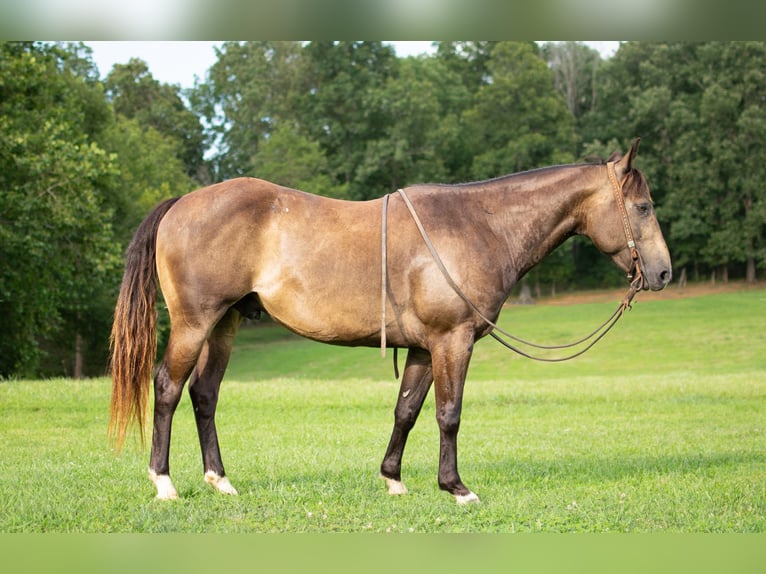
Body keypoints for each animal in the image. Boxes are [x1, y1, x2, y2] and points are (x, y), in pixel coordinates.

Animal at [108, 138, 672, 504]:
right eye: (643, 206)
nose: (664, 272)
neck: (480, 225)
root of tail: (182, 203)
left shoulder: (424, 348)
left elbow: (407, 411)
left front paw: (393, 479)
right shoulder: (453, 341)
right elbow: (449, 413)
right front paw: (456, 488)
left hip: (224, 325)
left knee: (204, 394)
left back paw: (220, 480)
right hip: (194, 324)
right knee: (167, 388)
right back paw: (164, 483)